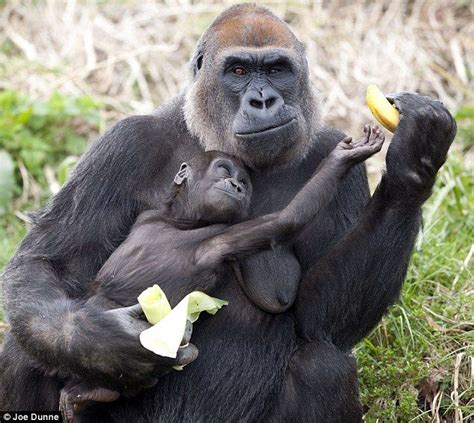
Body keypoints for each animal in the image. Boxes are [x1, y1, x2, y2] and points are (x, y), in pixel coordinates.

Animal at [60, 125, 386, 420]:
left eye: (243, 181)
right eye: (224, 171)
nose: (237, 186)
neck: (180, 222)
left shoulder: (222, 239)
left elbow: (285, 221)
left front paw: (340, 161)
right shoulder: (156, 216)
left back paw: (93, 391)